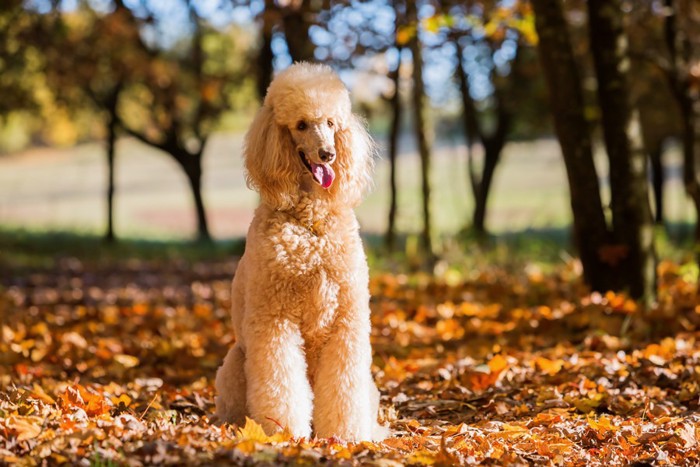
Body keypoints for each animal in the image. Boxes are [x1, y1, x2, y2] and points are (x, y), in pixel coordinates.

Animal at [215, 62, 388, 442]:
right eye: (301, 125)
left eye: (331, 123)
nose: (328, 155)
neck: (311, 224)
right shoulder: (275, 320)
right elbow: (281, 382)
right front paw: (283, 433)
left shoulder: (346, 319)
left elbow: (343, 385)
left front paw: (345, 436)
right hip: (234, 364)